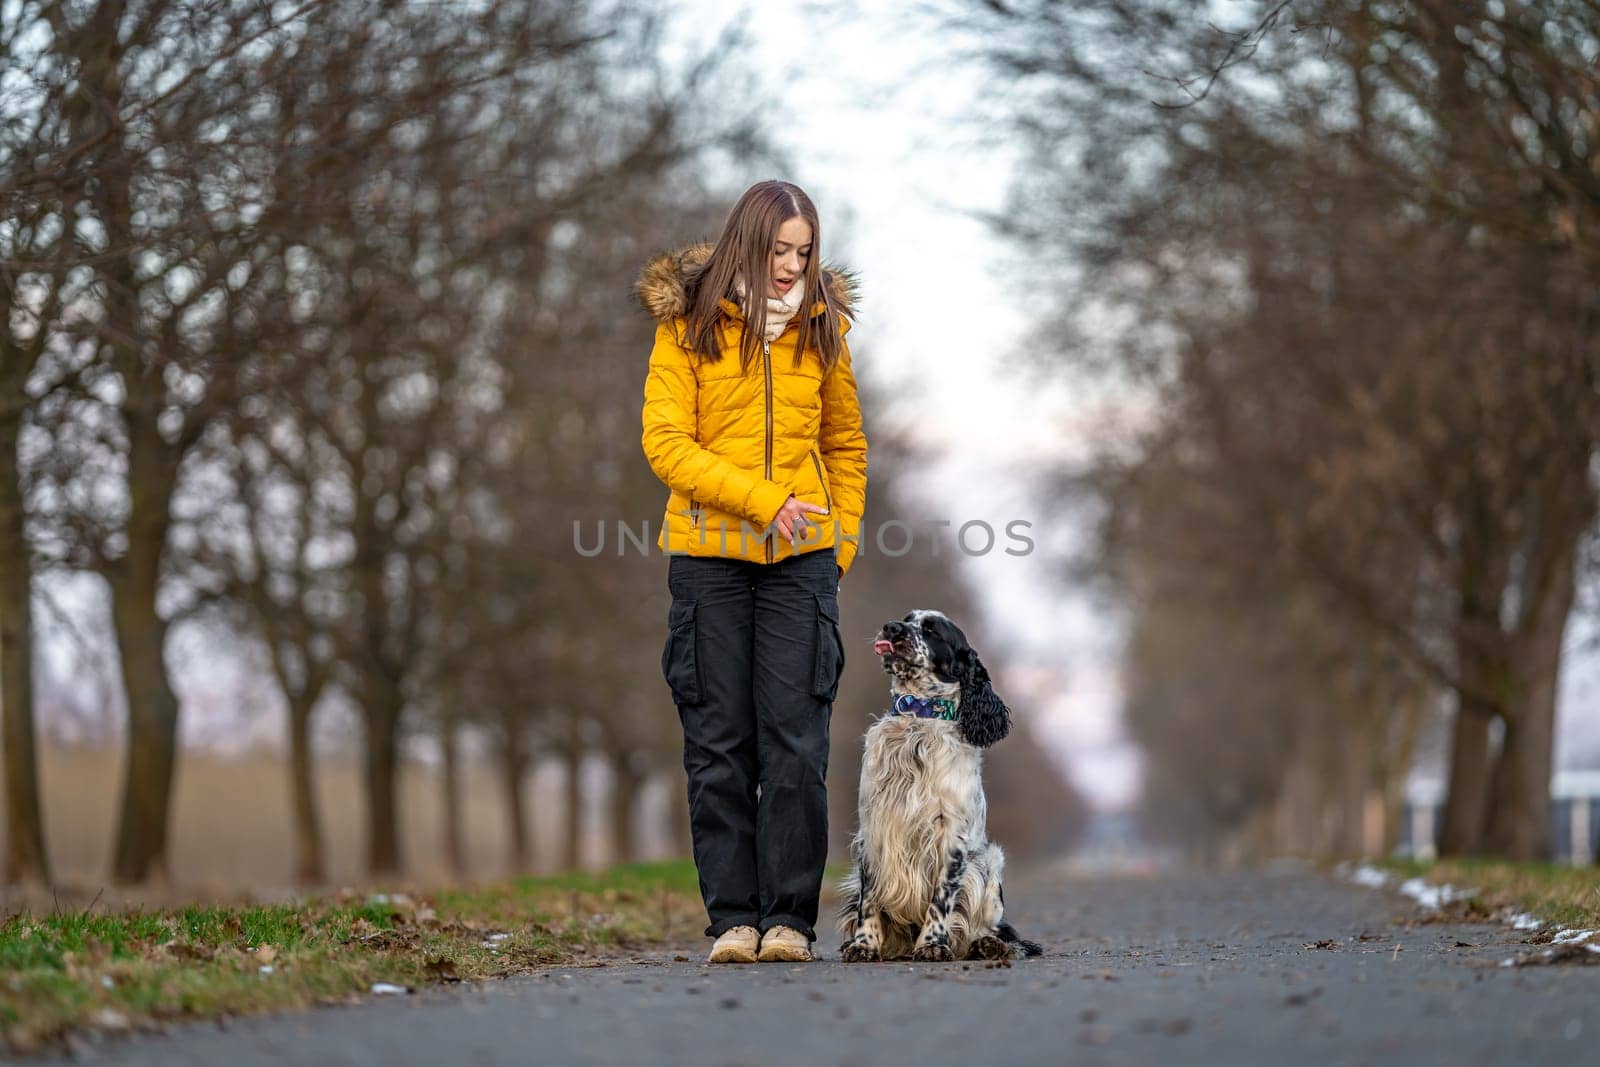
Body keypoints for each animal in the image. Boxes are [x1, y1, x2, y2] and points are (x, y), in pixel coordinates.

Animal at [838, 614, 1049, 966]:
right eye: (907, 619)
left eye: (932, 630)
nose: (891, 627)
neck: (917, 720)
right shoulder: (873, 830)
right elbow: (869, 901)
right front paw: (863, 944)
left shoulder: (951, 835)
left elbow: (941, 899)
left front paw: (933, 944)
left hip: (988, 863)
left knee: (989, 930)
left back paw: (989, 945)